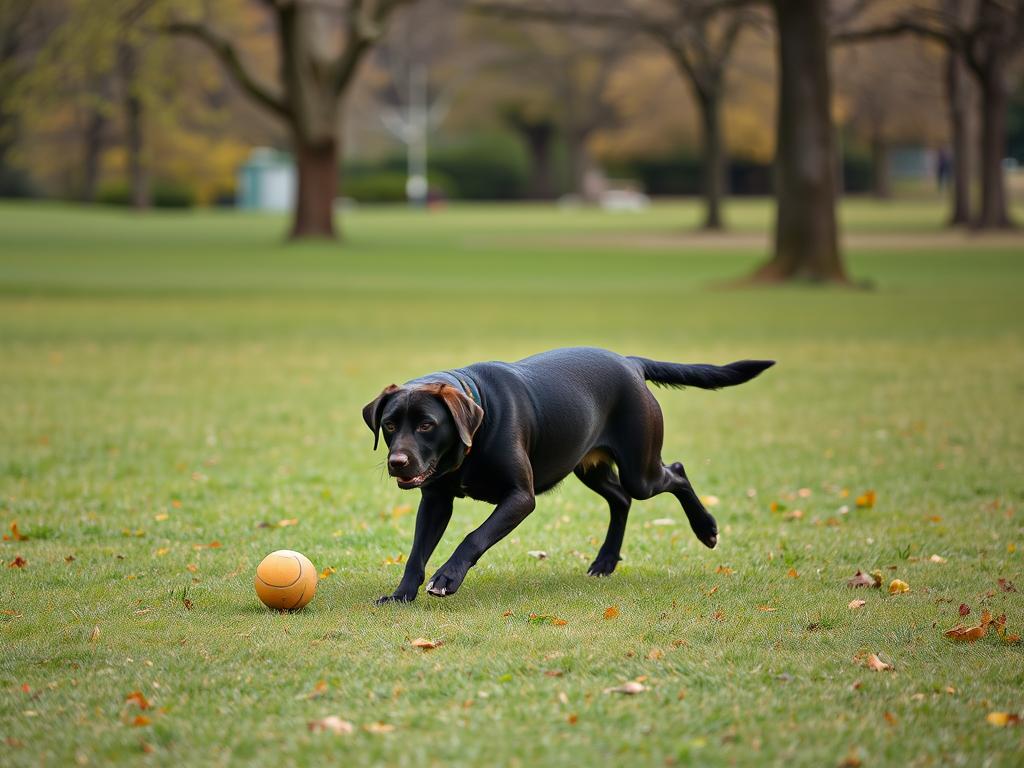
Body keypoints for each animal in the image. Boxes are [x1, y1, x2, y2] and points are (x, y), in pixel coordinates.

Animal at [364, 348, 770, 606]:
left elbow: (473, 537)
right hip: (588, 465)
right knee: (621, 499)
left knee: (676, 474)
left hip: (641, 470)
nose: (397, 462)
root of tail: (630, 363)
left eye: (427, 425)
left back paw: (706, 528)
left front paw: (448, 578)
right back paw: (606, 561)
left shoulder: (520, 497)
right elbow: (417, 552)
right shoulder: (436, 500)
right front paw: (401, 595)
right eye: (390, 425)